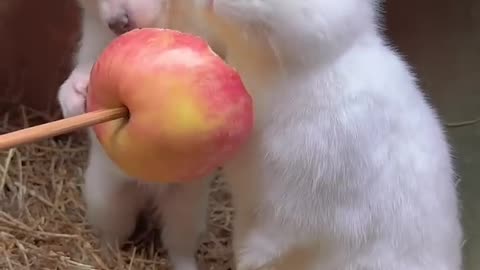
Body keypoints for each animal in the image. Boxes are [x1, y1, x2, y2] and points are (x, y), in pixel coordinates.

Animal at [56, 1, 225, 268]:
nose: (117, 23)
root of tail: (148, 195)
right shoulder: (94, 43)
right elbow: (84, 72)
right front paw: (76, 92)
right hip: (107, 198)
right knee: (113, 235)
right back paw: (107, 258)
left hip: (187, 207)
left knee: (179, 246)